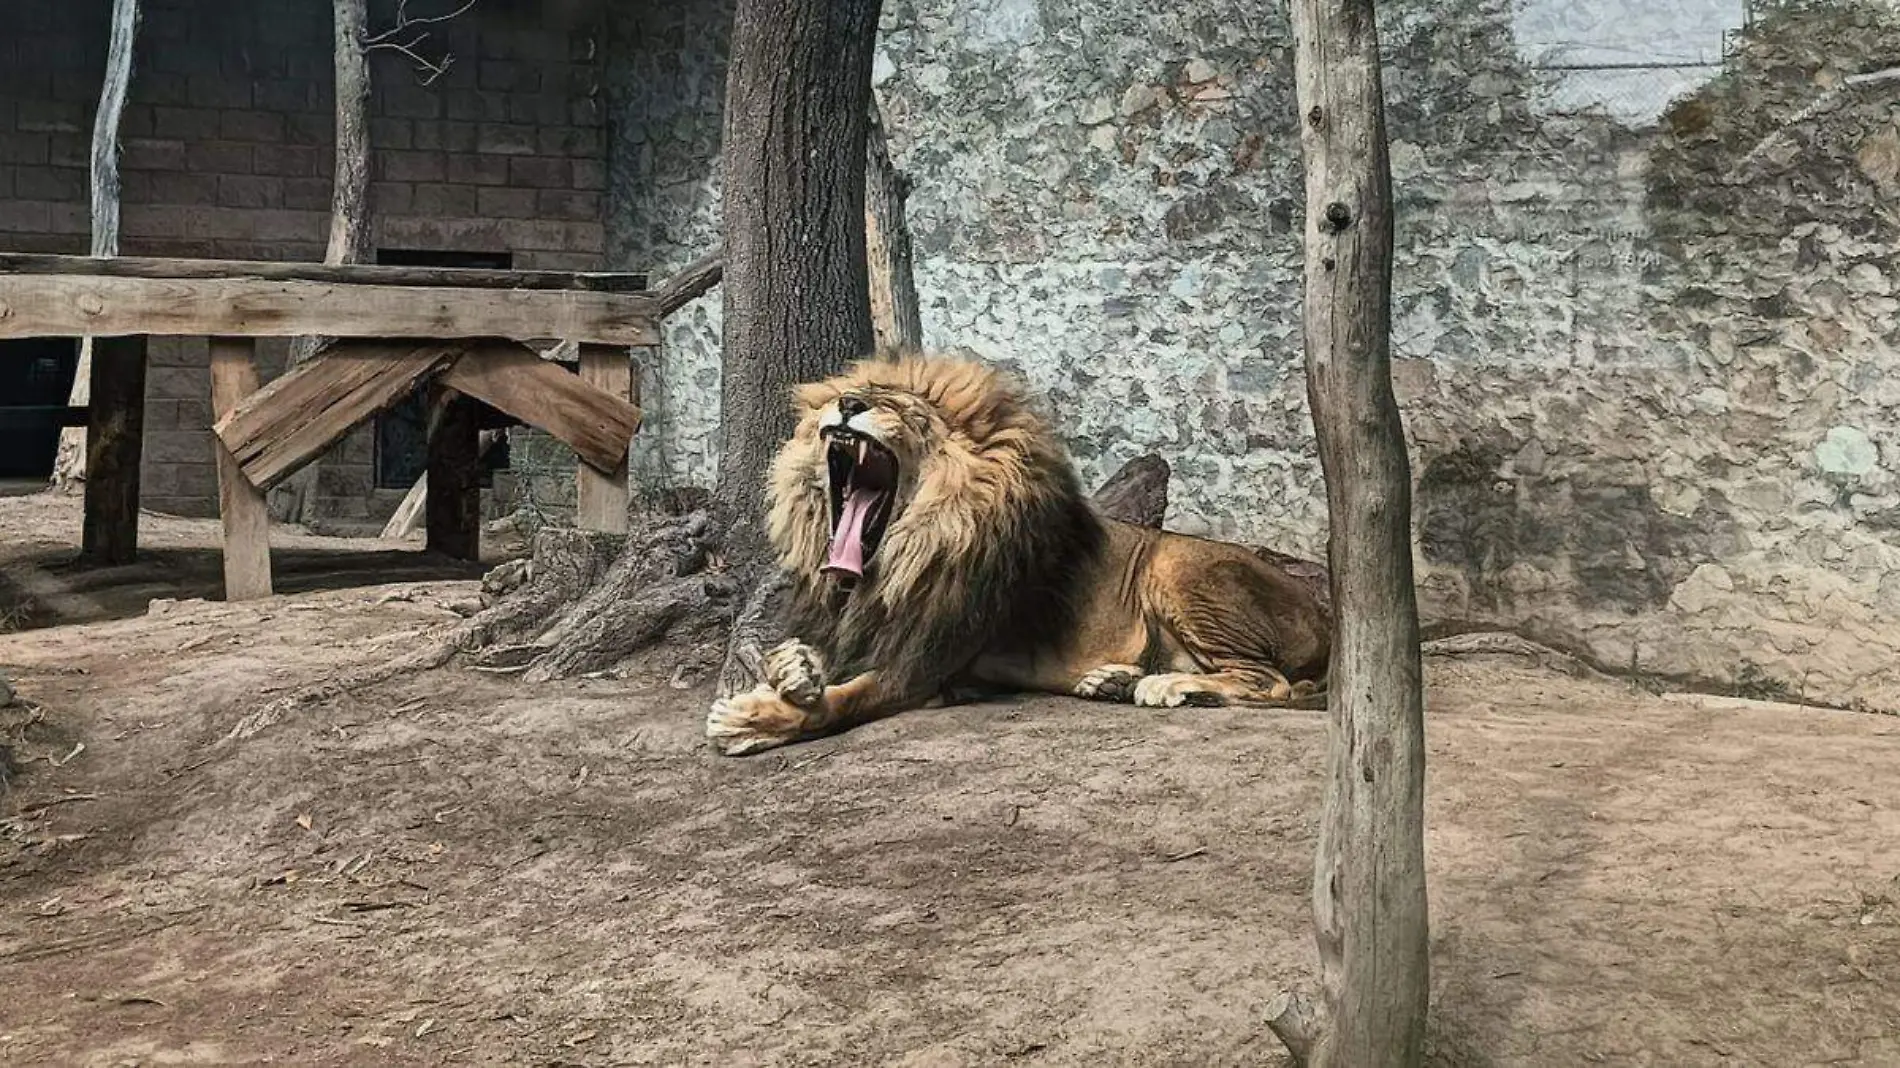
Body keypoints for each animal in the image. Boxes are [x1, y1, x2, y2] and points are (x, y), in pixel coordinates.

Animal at [706, 353, 1330, 752]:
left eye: (910, 414)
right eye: (848, 398)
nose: (849, 401)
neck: (891, 566)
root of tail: (1327, 618)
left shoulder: (922, 666)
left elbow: (846, 700)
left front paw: (750, 720)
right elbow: (800, 657)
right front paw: (790, 670)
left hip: (1176, 570)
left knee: (1270, 682)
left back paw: (1166, 687)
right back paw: (1113, 681)